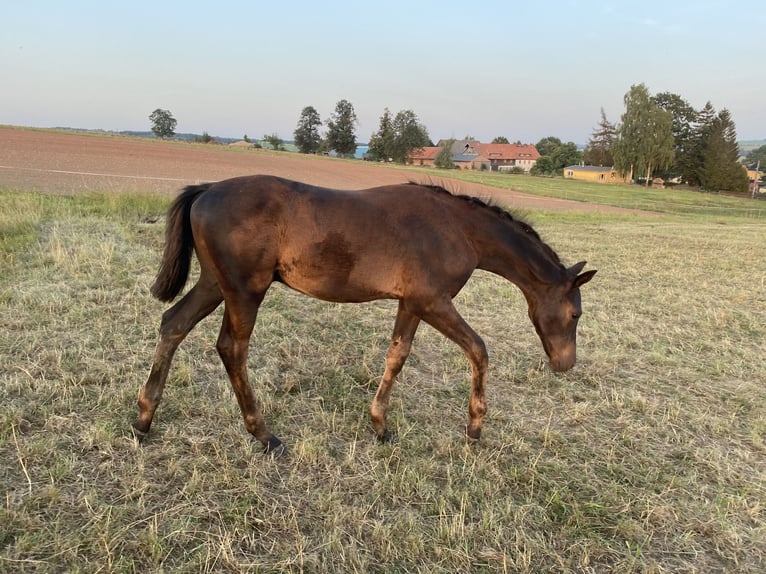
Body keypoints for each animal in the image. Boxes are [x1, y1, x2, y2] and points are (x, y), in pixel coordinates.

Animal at [132, 176, 600, 454]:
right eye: (576, 314)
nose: (565, 363)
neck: (457, 228)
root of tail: (207, 188)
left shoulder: (411, 303)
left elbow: (397, 355)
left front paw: (380, 426)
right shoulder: (433, 302)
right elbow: (479, 349)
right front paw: (474, 427)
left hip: (215, 284)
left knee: (173, 324)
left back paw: (143, 418)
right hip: (246, 291)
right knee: (231, 348)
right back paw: (262, 433)